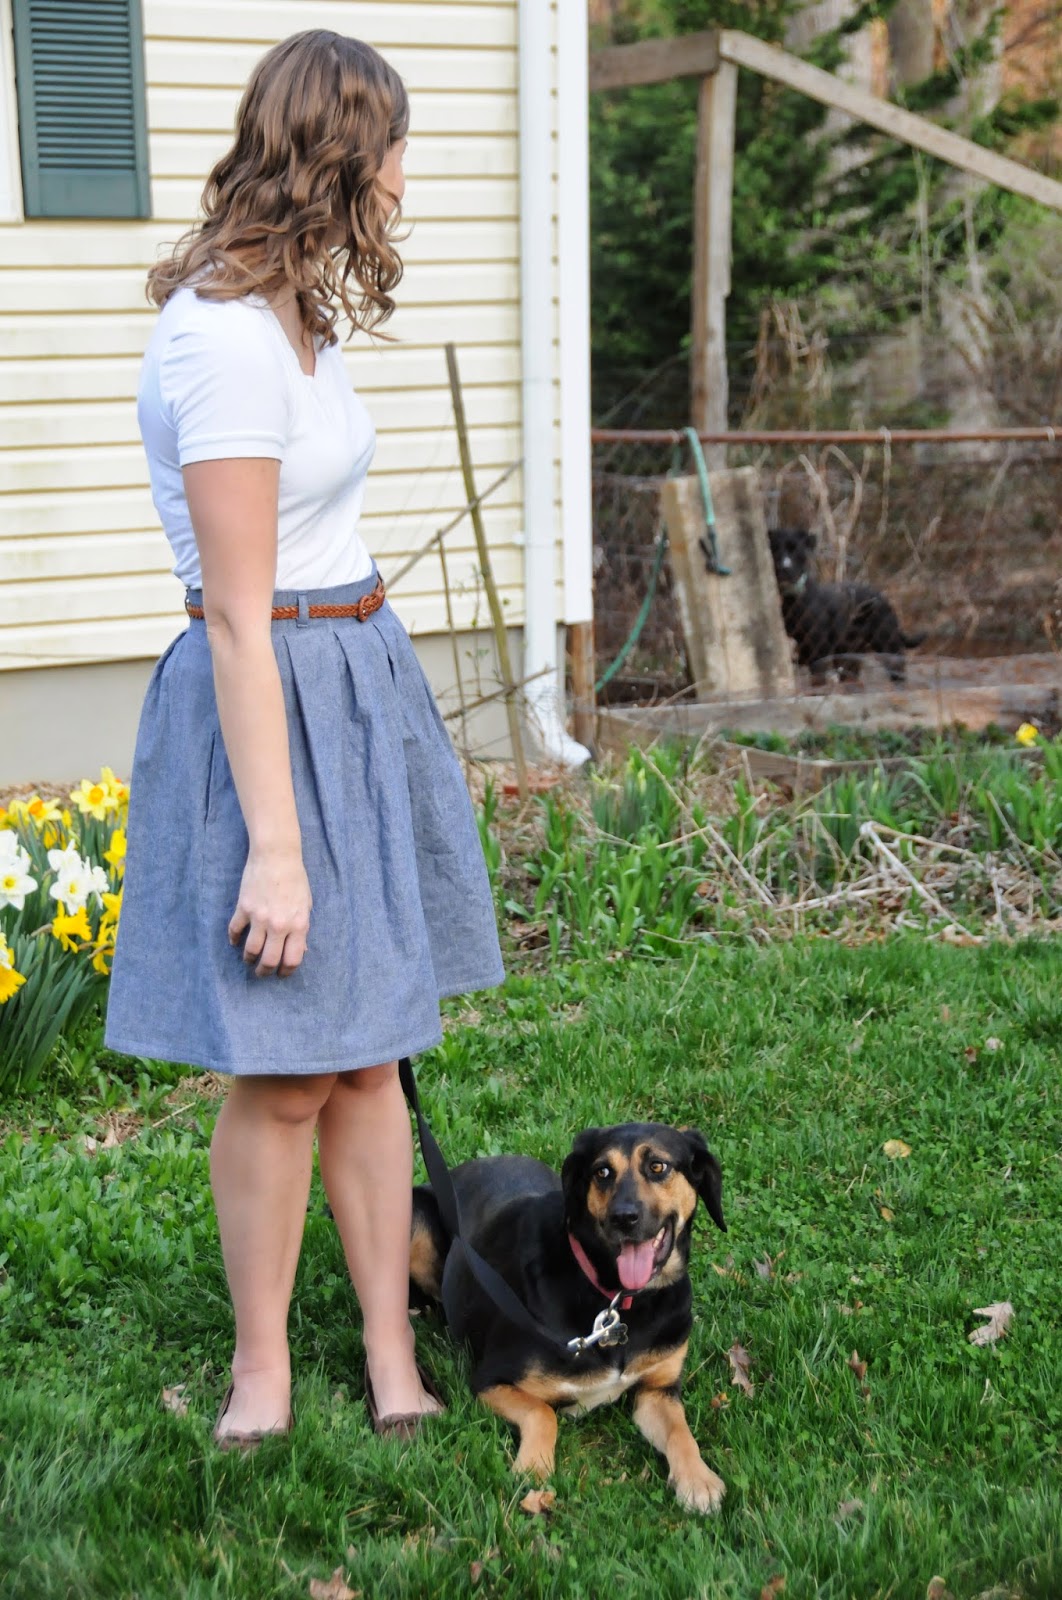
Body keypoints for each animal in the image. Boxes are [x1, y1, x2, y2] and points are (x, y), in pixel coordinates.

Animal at [408, 1122, 729, 1514]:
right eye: (602, 1172)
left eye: (658, 1166)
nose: (624, 1218)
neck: (617, 1301)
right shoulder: (489, 1380)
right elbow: (542, 1413)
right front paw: (533, 1468)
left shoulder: (657, 1390)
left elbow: (681, 1432)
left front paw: (698, 1479)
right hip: (415, 1216)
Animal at [768, 527, 925, 683]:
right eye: (775, 549)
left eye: (796, 550)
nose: (784, 568)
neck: (790, 600)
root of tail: (884, 598)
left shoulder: (818, 650)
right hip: (850, 656)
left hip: (888, 647)